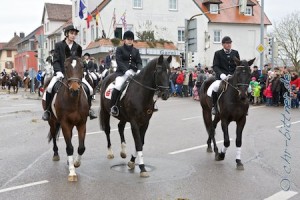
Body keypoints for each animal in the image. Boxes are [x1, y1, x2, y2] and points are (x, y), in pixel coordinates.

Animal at [42, 48, 89, 181]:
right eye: (66, 66)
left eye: (82, 66)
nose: (74, 89)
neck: (73, 100)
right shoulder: (65, 124)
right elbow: (69, 147)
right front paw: (72, 172)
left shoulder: (82, 123)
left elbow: (81, 147)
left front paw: (75, 163)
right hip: (52, 122)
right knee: (53, 135)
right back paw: (56, 154)